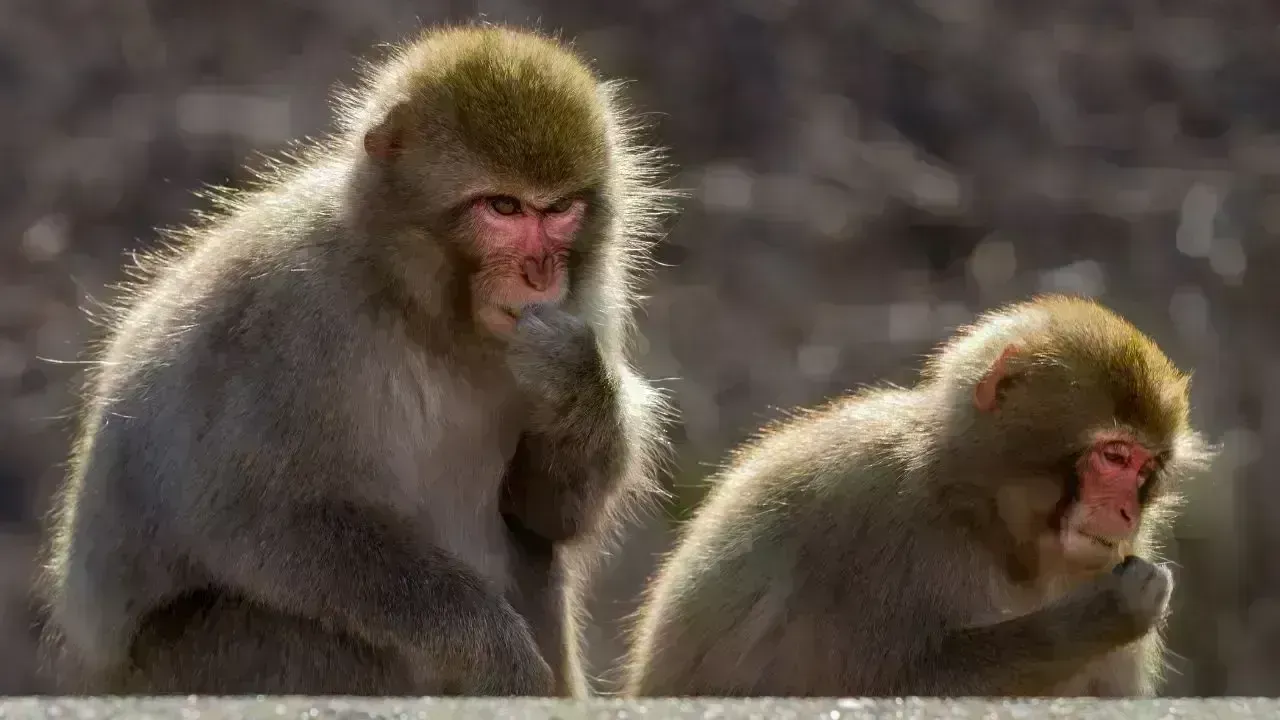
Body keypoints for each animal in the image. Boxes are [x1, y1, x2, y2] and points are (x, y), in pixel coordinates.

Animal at [36, 24, 676, 697]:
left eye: (558, 210)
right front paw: (494, 653)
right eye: (503, 208)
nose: (539, 274)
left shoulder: (589, 303)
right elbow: (260, 518)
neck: (419, 306)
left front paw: (574, 378)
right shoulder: (300, 314)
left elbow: (542, 515)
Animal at [623, 294, 1215, 698]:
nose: (1127, 511)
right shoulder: (881, 513)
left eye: (1146, 469)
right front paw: (1103, 613)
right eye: (1114, 456)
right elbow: (884, 686)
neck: (986, 516)